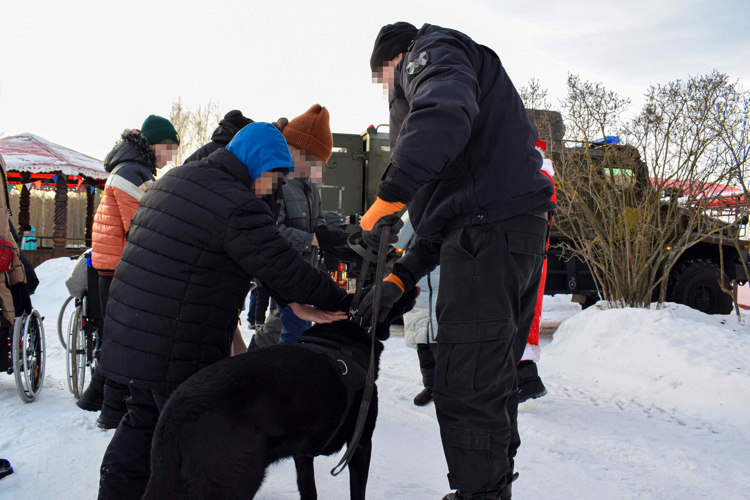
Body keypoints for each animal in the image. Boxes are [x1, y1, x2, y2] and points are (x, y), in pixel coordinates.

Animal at [144, 320, 384, 500]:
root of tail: (178, 410)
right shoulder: (362, 443)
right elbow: (358, 492)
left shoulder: (303, 455)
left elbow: (310, 492)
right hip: (233, 483)